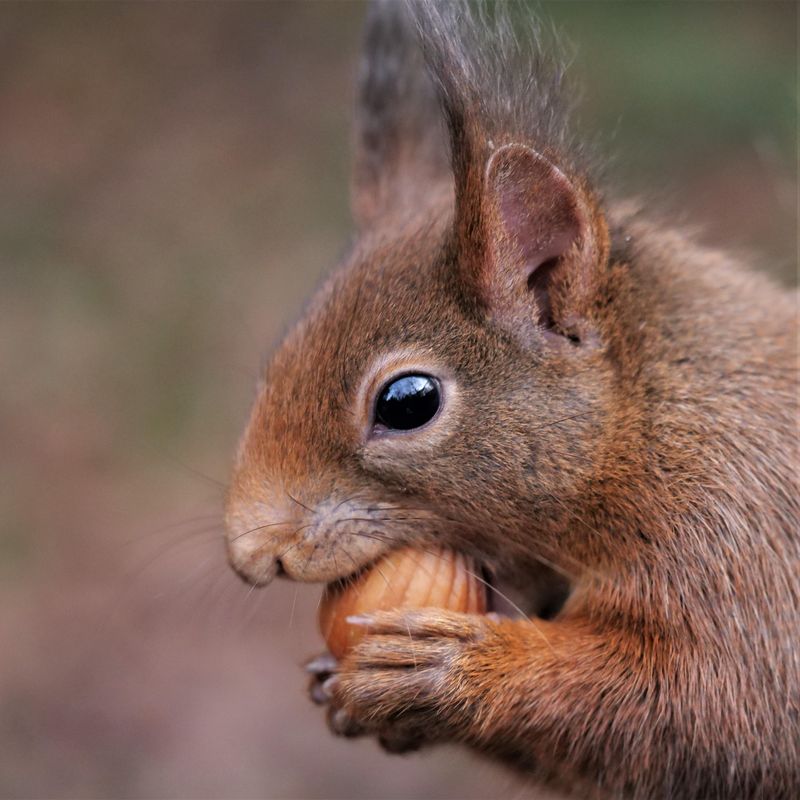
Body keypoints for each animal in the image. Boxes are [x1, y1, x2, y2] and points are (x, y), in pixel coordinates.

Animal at [225, 3, 800, 796]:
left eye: (407, 403)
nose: (251, 554)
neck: (646, 423)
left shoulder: (741, 540)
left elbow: (715, 706)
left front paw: (448, 672)